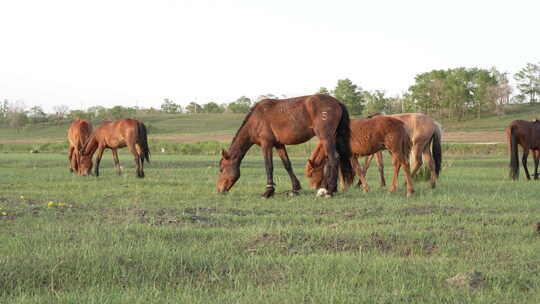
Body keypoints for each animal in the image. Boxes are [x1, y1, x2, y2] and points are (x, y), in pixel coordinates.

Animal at [215, 94, 354, 198]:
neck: (256, 119)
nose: (219, 190)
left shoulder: (266, 144)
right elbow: (287, 165)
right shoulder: (279, 144)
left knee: (333, 158)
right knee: (332, 159)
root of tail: (337, 102)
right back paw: (327, 189)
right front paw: (295, 188)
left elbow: (269, 166)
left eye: (221, 169)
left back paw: (329, 191)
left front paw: (268, 191)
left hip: (325, 138)